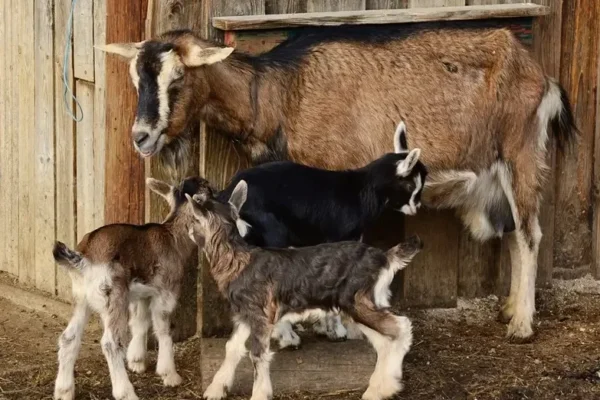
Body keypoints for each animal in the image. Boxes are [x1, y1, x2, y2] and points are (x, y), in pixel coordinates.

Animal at [101, 25, 580, 340]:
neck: (280, 93)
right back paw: (508, 310)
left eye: (178, 78)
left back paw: (521, 324)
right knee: (516, 233)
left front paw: (329, 324)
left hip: (521, 153)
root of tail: (540, 74)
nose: (141, 136)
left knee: (530, 234)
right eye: (136, 78)